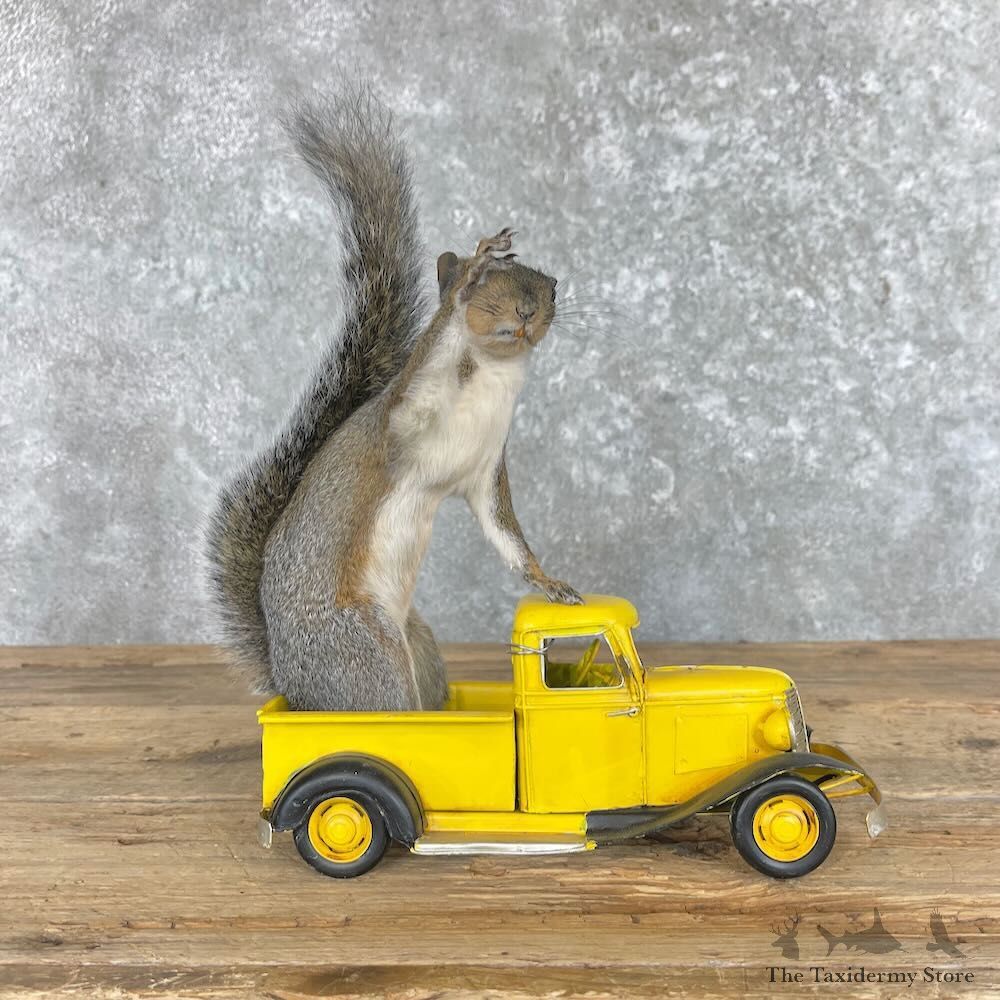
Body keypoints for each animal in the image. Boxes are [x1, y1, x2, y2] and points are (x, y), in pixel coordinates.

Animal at [205, 89, 582, 712]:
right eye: (485, 286)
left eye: (551, 285)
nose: (527, 310)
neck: (491, 374)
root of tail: (297, 689)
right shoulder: (404, 415)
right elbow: (433, 350)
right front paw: (471, 273)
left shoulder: (483, 472)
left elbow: (504, 532)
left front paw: (549, 582)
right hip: (367, 653)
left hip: (417, 642)